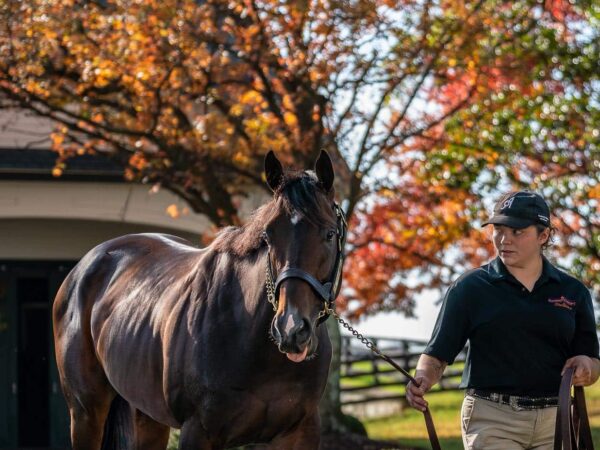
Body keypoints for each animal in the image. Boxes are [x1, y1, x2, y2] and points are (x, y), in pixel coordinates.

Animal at [53, 151, 344, 450]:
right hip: (86, 412)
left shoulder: (301, 431)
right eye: (268, 235)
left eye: (330, 233)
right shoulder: (198, 431)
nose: (290, 330)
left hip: (147, 414)